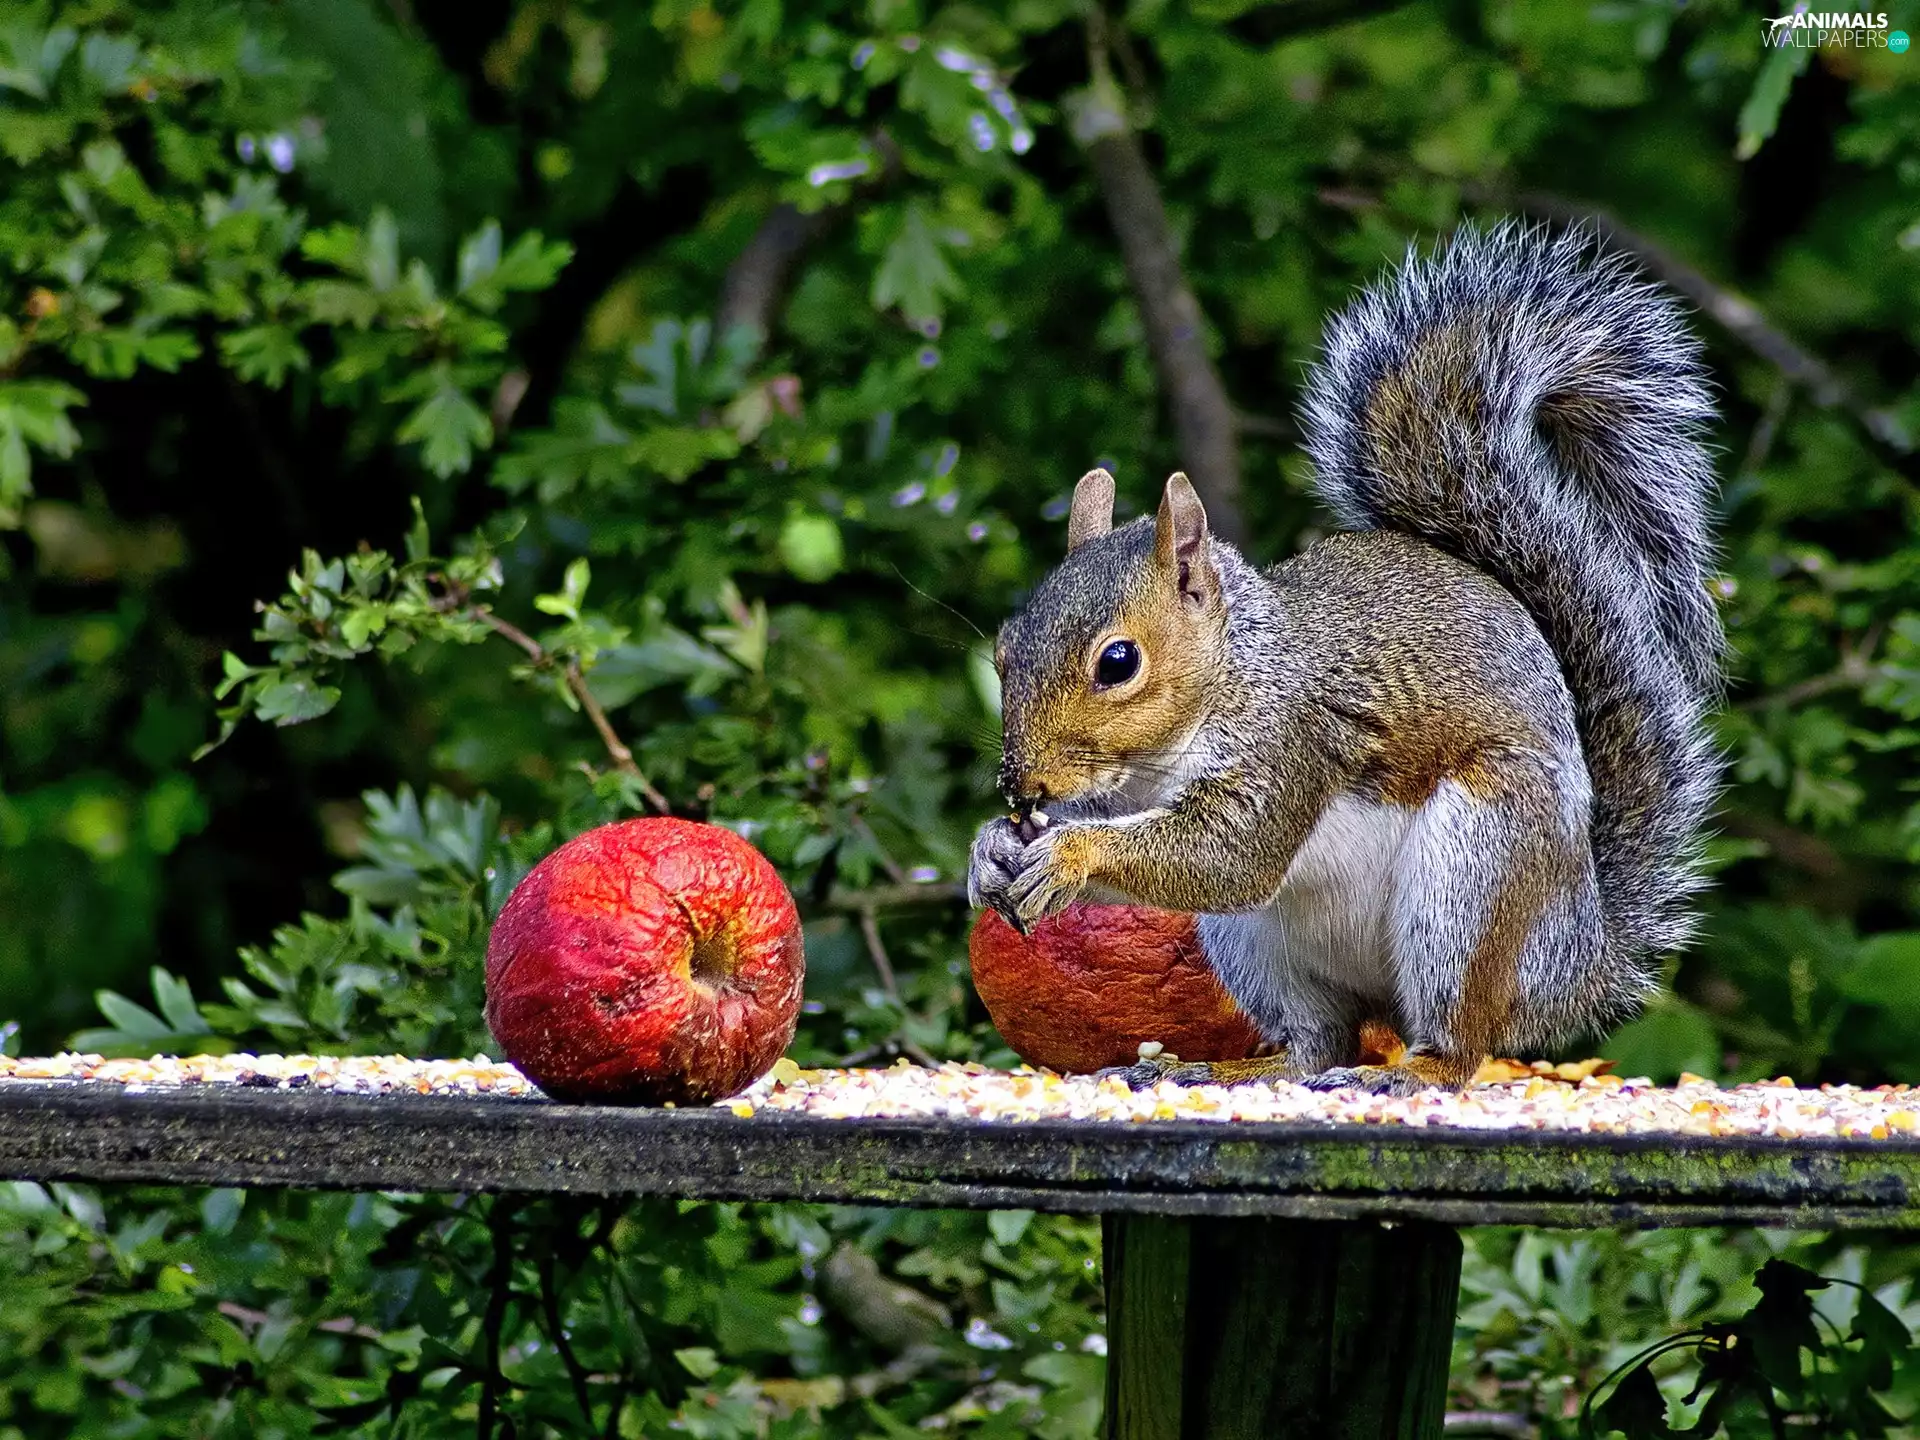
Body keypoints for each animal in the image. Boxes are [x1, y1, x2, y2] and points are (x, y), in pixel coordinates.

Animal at [966, 223, 1724, 1095]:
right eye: (1004, 649)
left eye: (1118, 662)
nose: (1021, 785)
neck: (1231, 677)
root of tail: (1575, 960)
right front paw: (990, 848)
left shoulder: (1294, 741)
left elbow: (1231, 855)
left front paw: (1070, 852)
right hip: (1258, 946)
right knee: (1316, 1041)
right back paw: (1226, 1070)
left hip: (1477, 874)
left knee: (1459, 1038)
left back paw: (1408, 1074)